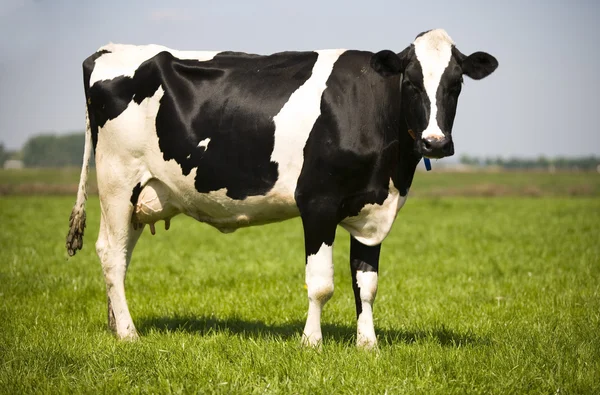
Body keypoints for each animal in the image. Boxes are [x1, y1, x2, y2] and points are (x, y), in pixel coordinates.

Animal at [64, 28, 496, 350]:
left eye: (456, 84)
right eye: (411, 81)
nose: (435, 143)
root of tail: (109, 50)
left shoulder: (374, 210)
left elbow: (367, 283)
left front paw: (367, 345)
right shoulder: (318, 202)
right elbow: (321, 284)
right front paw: (311, 342)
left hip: (143, 194)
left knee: (120, 256)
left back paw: (115, 325)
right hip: (118, 179)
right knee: (110, 254)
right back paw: (129, 334)